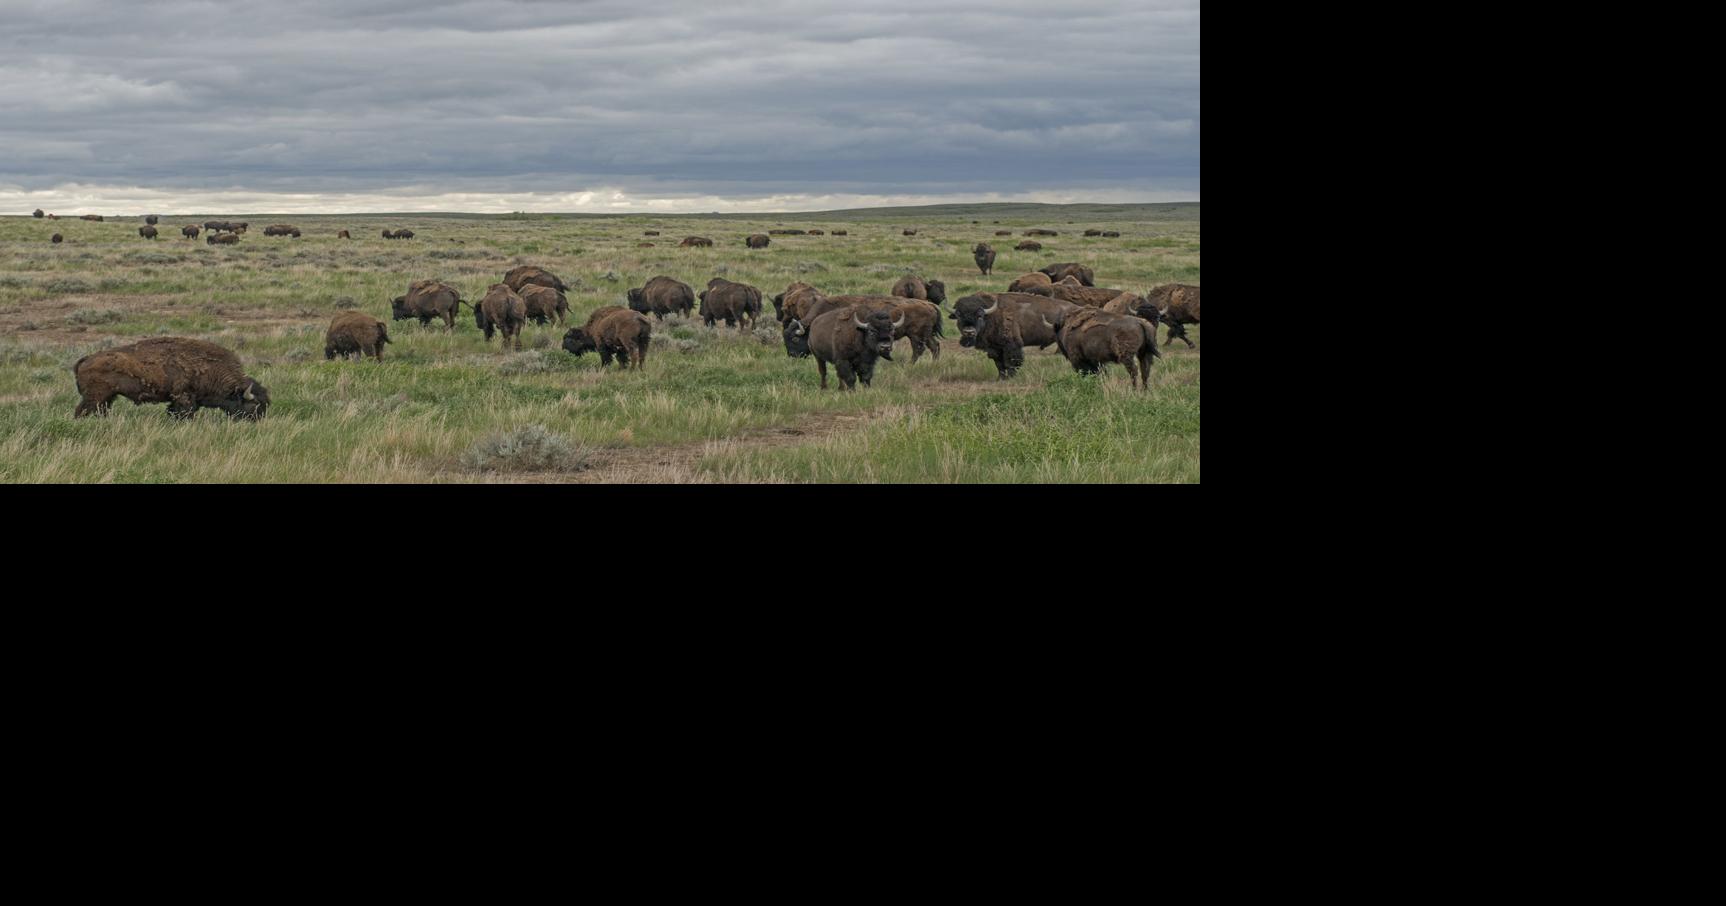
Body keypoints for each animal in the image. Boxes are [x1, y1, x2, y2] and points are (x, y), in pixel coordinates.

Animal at [73, 337, 268, 420]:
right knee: (82, 411)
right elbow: (184, 414)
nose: (258, 421)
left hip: (107, 398)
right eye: (254, 405)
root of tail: (86, 359)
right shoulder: (184, 397)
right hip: (95, 397)